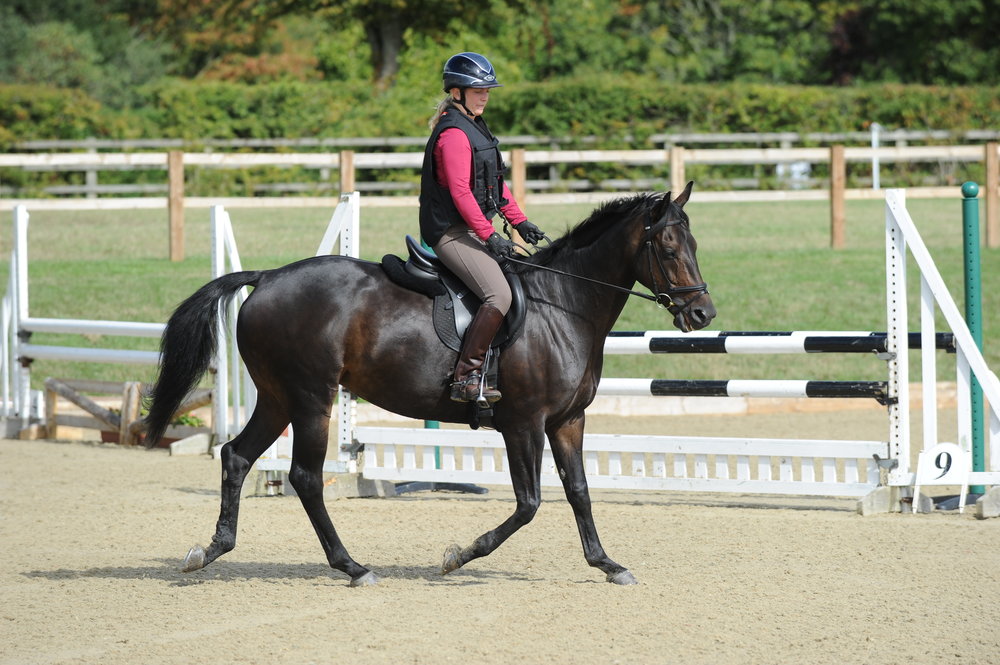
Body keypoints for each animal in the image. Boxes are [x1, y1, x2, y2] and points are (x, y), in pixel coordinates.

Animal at [144, 180, 716, 587]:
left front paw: (607, 564)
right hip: (311, 399)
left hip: (279, 398)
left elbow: (579, 491)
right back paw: (352, 566)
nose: (702, 314)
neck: (562, 304)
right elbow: (529, 503)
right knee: (305, 477)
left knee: (237, 456)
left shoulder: (567, 421)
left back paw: (211, 550)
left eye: (692, 243)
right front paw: (459, 555)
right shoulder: (523, 423)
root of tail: (266, 277)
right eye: (668, 248)